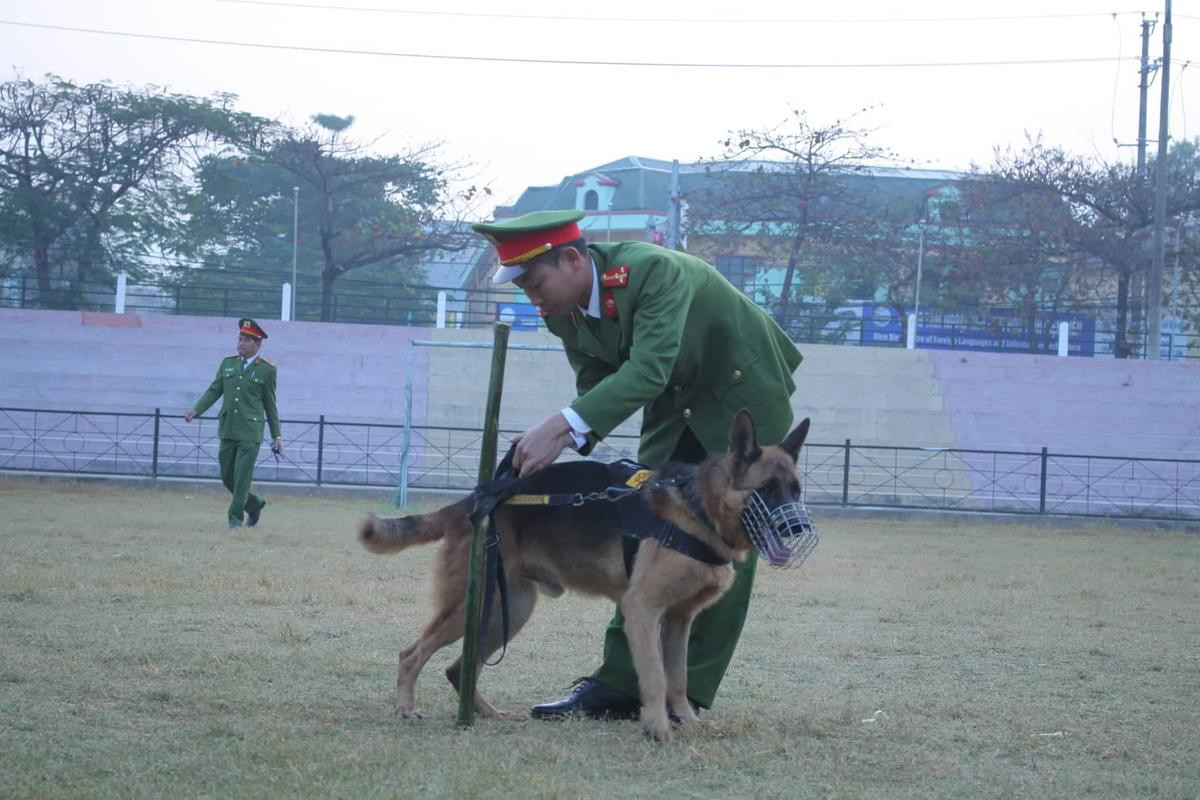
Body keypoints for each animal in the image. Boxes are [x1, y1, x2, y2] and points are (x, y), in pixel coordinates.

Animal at [352, 410, 806, 743]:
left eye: (796, 489)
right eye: (768, 489)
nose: (797, 528)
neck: (699, 509)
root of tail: (478, 499)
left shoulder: (679, 621)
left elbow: (679, 678)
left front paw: (689, 725)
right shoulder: (643, 611)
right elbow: (656, 677)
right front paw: (657, 729)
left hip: (505, 612)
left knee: (458, 667)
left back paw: (487, 714)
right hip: (472, 606)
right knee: (412, 654)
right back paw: (407, 708)